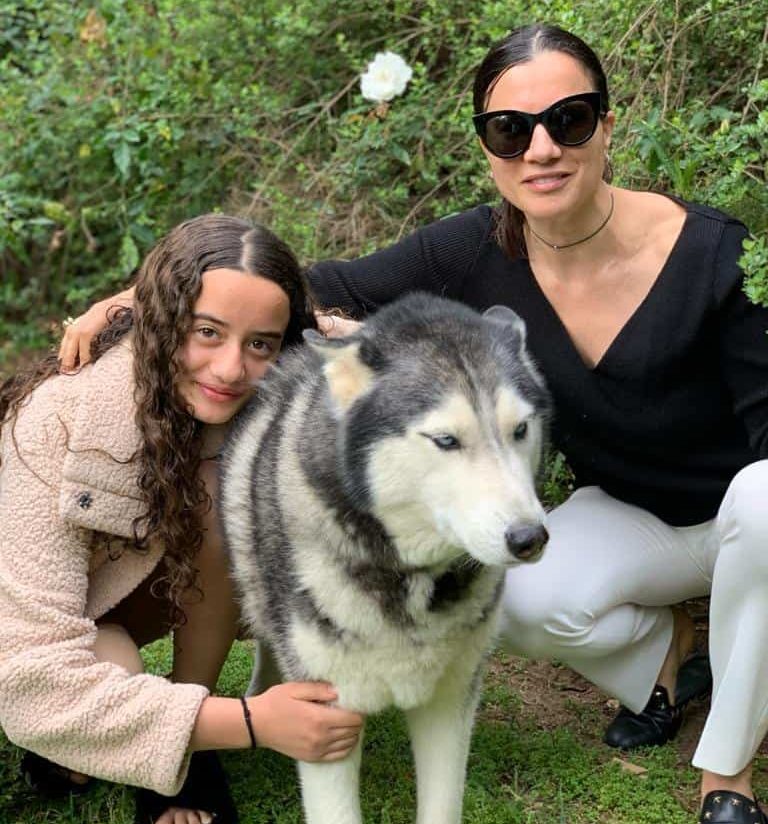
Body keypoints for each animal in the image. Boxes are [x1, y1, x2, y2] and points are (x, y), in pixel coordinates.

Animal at [219, 294, 548, 824]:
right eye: (446, 440)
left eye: (519, 429)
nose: (529, 538)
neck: (410, 578)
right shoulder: (325, 718)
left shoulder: (452, 701)